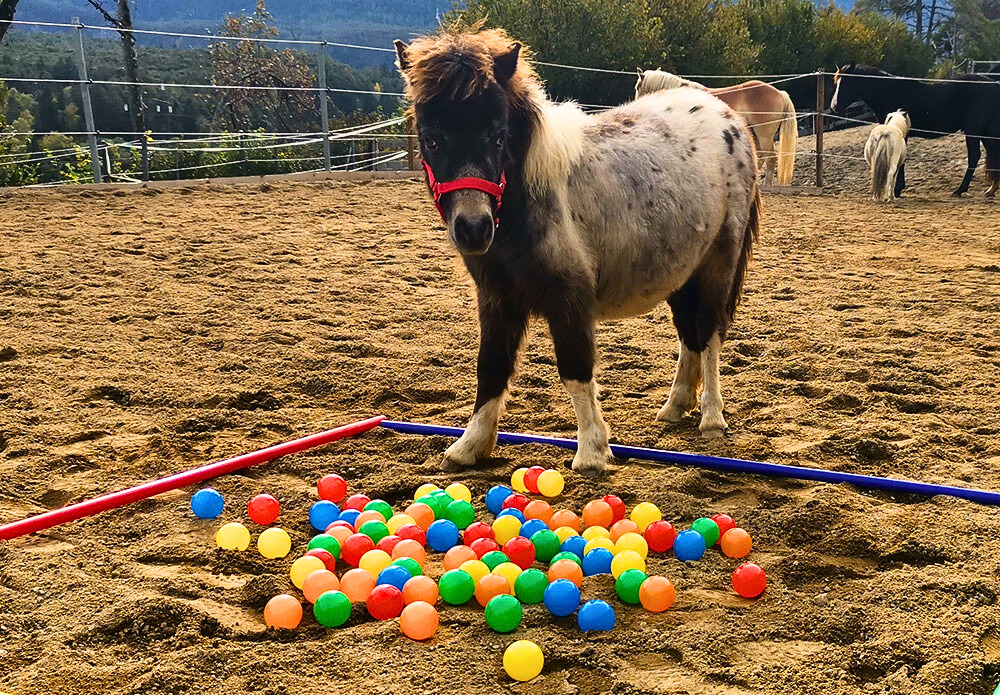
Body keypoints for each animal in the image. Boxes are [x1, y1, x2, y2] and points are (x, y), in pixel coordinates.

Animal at [394, 28, 760, 474]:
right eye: (431, 139)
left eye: (498, 137)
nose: (474, 228)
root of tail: (725, 114)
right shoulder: (497, 299)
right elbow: (491, 367)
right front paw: (470, 445)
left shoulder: (568, 298)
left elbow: (574, 369)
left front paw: (591, 451)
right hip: (682, 271)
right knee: (688, 335)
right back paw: (675, 407)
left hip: (717, 263)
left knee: (708, 332)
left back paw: (711, 417)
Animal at [831, 63, 1000, 197]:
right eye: (837, 82)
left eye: (846, 82)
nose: (834, 106)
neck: (890, 91)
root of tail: (993, 84)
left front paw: (897, 190)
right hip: (985, 132)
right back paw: (991, 189)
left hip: (973, 131)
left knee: (974, 157)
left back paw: (960, 190)